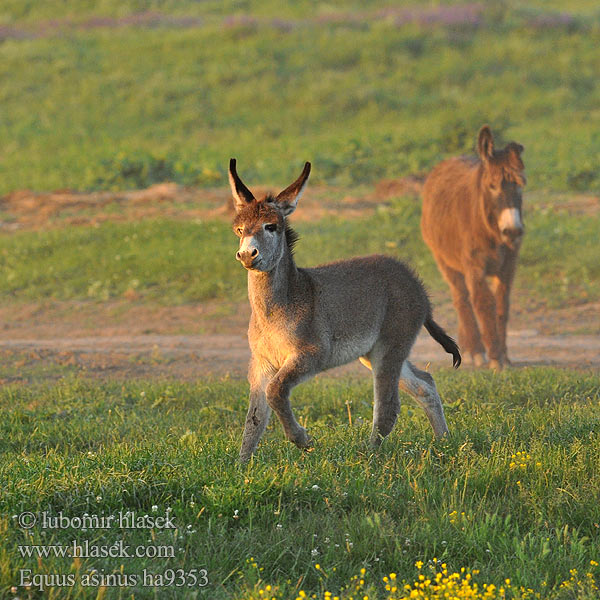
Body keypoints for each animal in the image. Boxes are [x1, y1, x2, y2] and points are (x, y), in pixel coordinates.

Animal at [230, 158, 460, 460]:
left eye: (271, 226)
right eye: (239, 229)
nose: (247, 255)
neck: (280, 306)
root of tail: (415, 282)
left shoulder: (311, 354)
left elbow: (276, 392)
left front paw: (302, 439)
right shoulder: (261, 363)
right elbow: (254, 420)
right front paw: (242, 465)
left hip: (391, 344)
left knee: (388, 408)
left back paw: (369, 457)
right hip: (374, 353)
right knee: (425, 384)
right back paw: (445, 443)